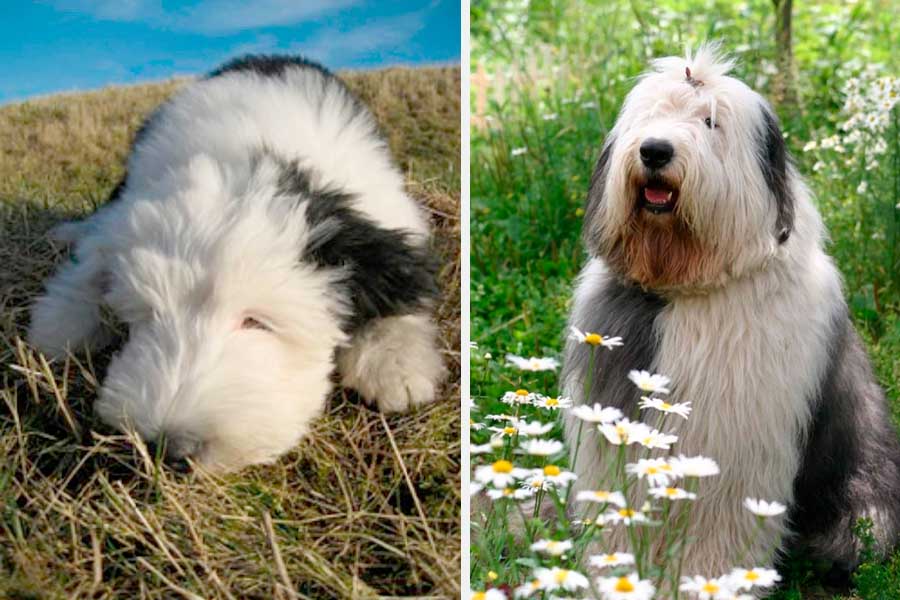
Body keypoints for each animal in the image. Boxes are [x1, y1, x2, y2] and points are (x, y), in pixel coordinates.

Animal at [27, 52, 446, 474]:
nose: (171, 449)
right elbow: (91, 262)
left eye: (256, 322)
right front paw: (60, 322)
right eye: (147, 315)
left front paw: (397, 367)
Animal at [564, 48, 900, 576]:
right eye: (651, 115)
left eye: (710, 121)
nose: (654, 151)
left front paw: (708, 579)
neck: (689, 283)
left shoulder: (729, 439)